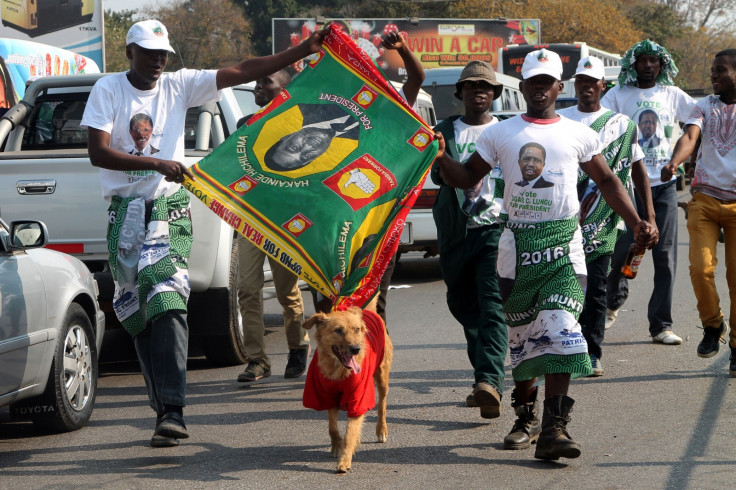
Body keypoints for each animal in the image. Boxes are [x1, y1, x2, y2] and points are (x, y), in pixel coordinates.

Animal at [300, 300, 392, 472]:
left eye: (356, 330)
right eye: (338, 331)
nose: (356, 349)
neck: (339, 370)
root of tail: (366, 310)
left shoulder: (358, 398)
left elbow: (350, 434)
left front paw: (344, 460)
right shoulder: (328, 396)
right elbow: (333, 427)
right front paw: (337, 446)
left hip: (382, 376)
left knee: (382, 405)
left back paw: (381, 429)